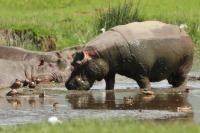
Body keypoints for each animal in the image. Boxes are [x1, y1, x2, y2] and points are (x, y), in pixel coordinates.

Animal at [65, 20, 194, 91]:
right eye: (72, 63)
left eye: (79, 63)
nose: (68, 84)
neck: (99, 54)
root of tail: (185, 33)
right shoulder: (109, 71)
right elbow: (110, 84)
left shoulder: (141, 72)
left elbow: (145, 85)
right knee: (175, 81)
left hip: (184, 65)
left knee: (183, 80)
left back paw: (180, 89)